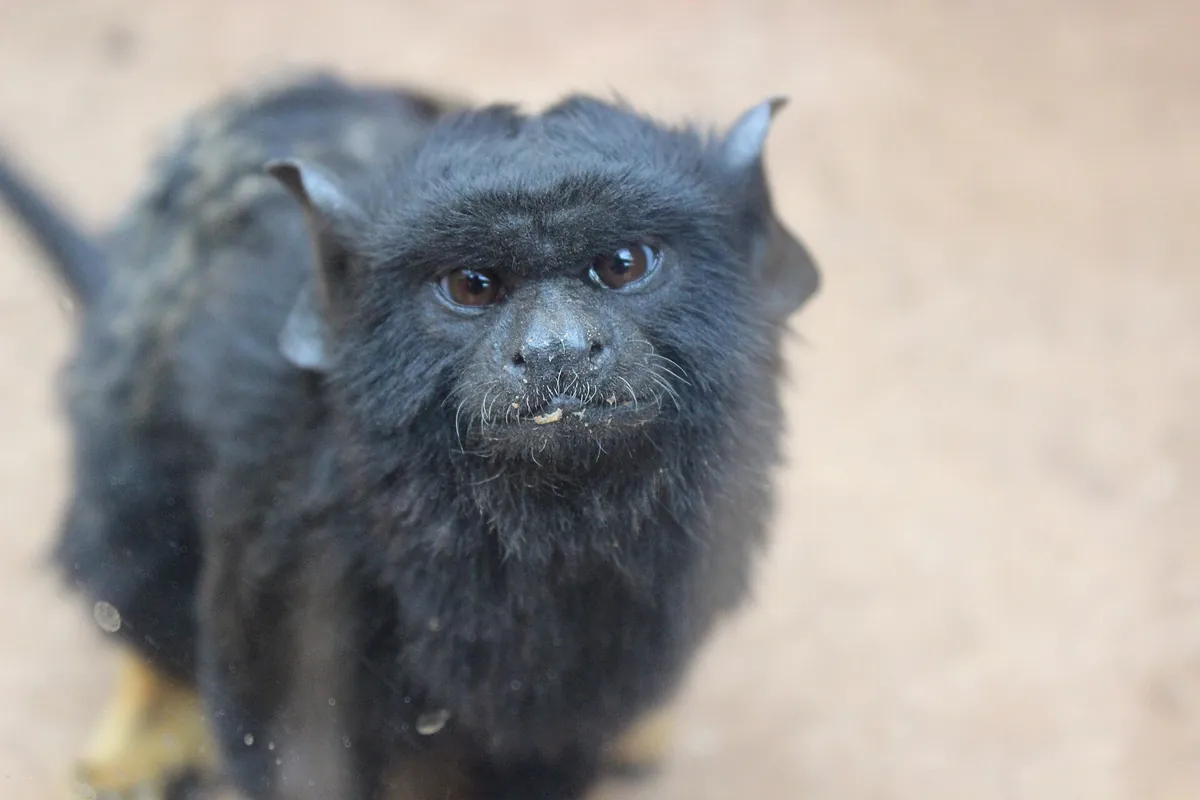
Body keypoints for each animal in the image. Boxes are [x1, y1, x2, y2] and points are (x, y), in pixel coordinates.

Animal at [0, 70, 820, 800]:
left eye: (621, 265)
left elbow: (553, 741)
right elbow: (283, 739)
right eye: (472, 286)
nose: (555, 350)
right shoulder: (287, 533)